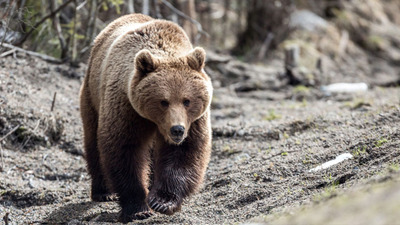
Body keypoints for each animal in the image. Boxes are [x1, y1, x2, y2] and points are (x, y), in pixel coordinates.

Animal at [79, 13, 214, 222]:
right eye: (163, 101)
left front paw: (162, 201)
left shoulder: (194, 121)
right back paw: (103, 191)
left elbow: (185, 151)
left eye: (187, 100)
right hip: (92, 94)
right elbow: (124, 149)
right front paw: (138, 208)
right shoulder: (126, 107)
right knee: (93, 140)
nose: (177, 130)